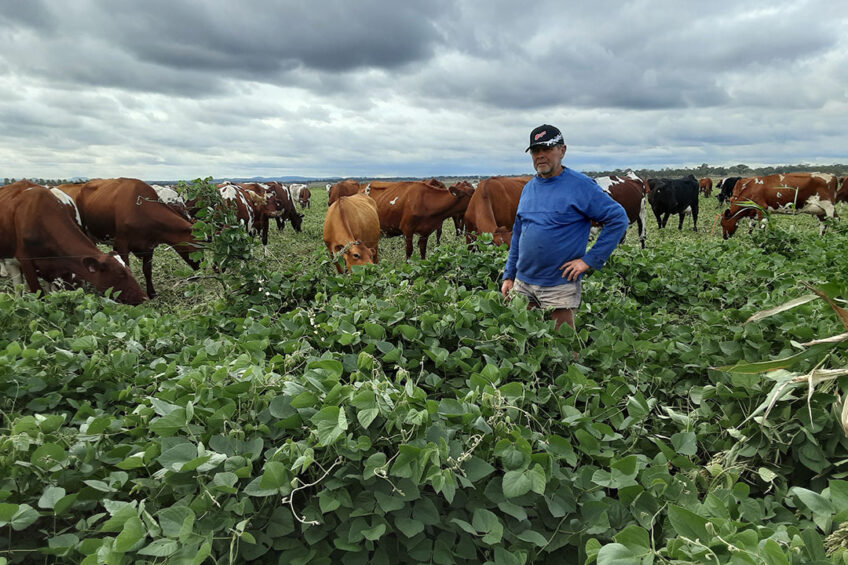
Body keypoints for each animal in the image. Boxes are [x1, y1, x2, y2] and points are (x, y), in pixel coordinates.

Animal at [0, 181, 147, 304]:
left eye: (129, 270)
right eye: (120, 274)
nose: (144, 297)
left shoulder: (64, 268)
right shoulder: (27, 264)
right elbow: (39, 296)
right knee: (18, 289)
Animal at [57, 177, 200, 300]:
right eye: (199, 246)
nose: (201, 269)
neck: (141, 210)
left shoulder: (148, 246)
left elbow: (147, 271)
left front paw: (152, 293)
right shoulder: (122, 244)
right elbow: (127, 269)